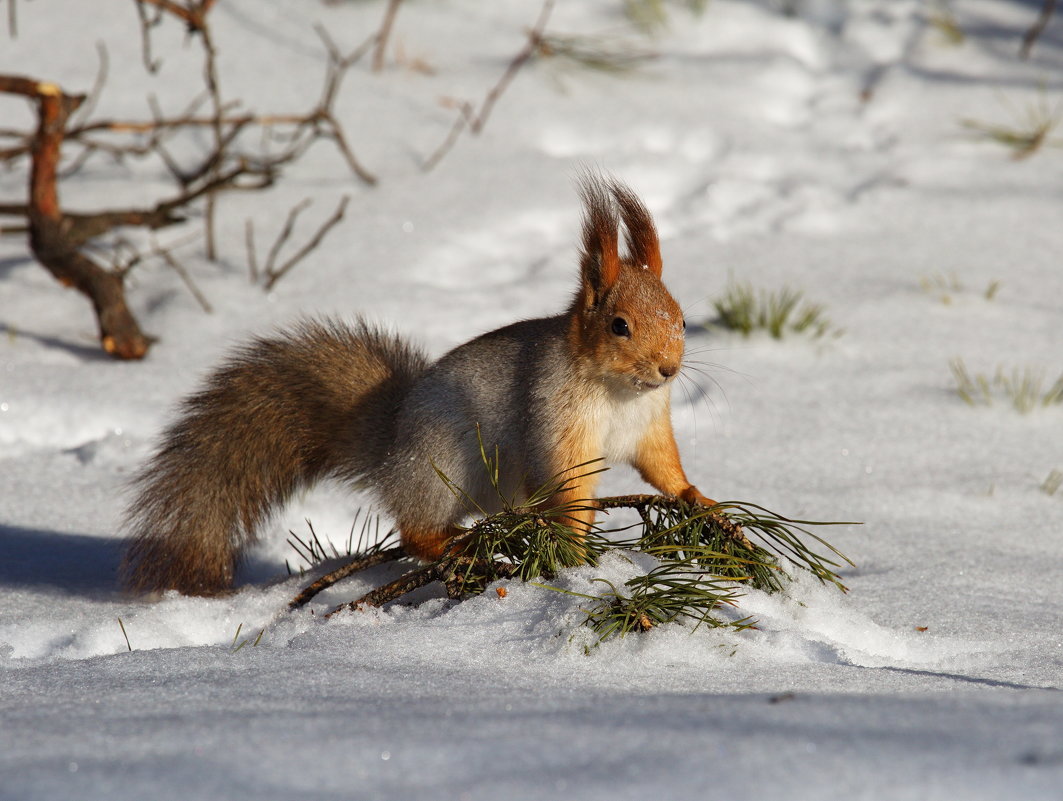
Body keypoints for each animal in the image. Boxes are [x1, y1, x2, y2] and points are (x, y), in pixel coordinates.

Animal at [122, 174, 714, 594]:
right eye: (620, 326)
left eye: (683, 319)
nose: (668, 369)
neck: (619, 391)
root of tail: (389, 447)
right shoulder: (557, 421)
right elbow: (568, 485)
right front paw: (574, 542)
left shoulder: (650, 426)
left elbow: (663, 466)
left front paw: (699, 498)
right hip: (440, 467)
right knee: (415, 533)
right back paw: (455, 544)